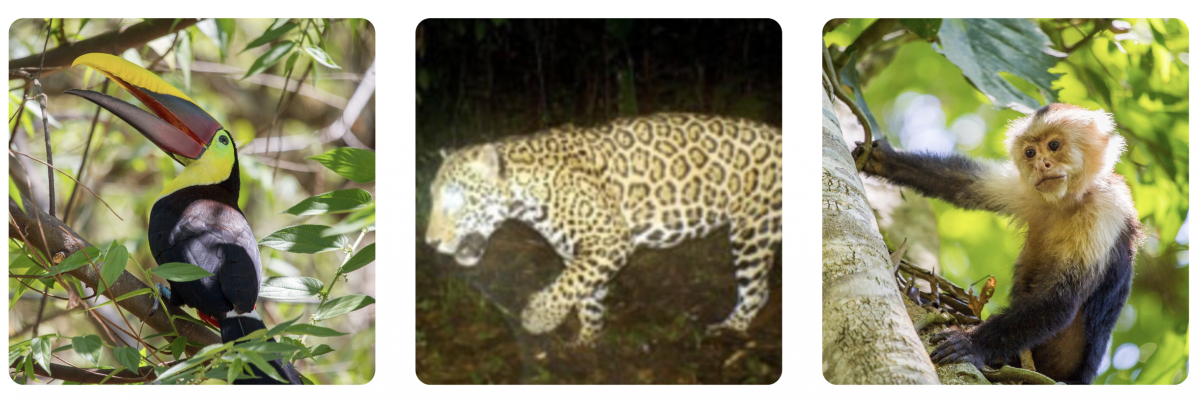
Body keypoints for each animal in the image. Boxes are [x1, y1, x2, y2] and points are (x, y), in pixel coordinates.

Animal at [425, 112, 783, 345]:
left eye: (455, 200)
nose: (429, 243)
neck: (528, 191)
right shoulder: (578, 252)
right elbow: (584, 294)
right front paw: (588, 341)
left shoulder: (611, 240)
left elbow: (566, 285)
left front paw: (538, 318)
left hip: (753, 230)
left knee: (756, 288)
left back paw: (730, 328)